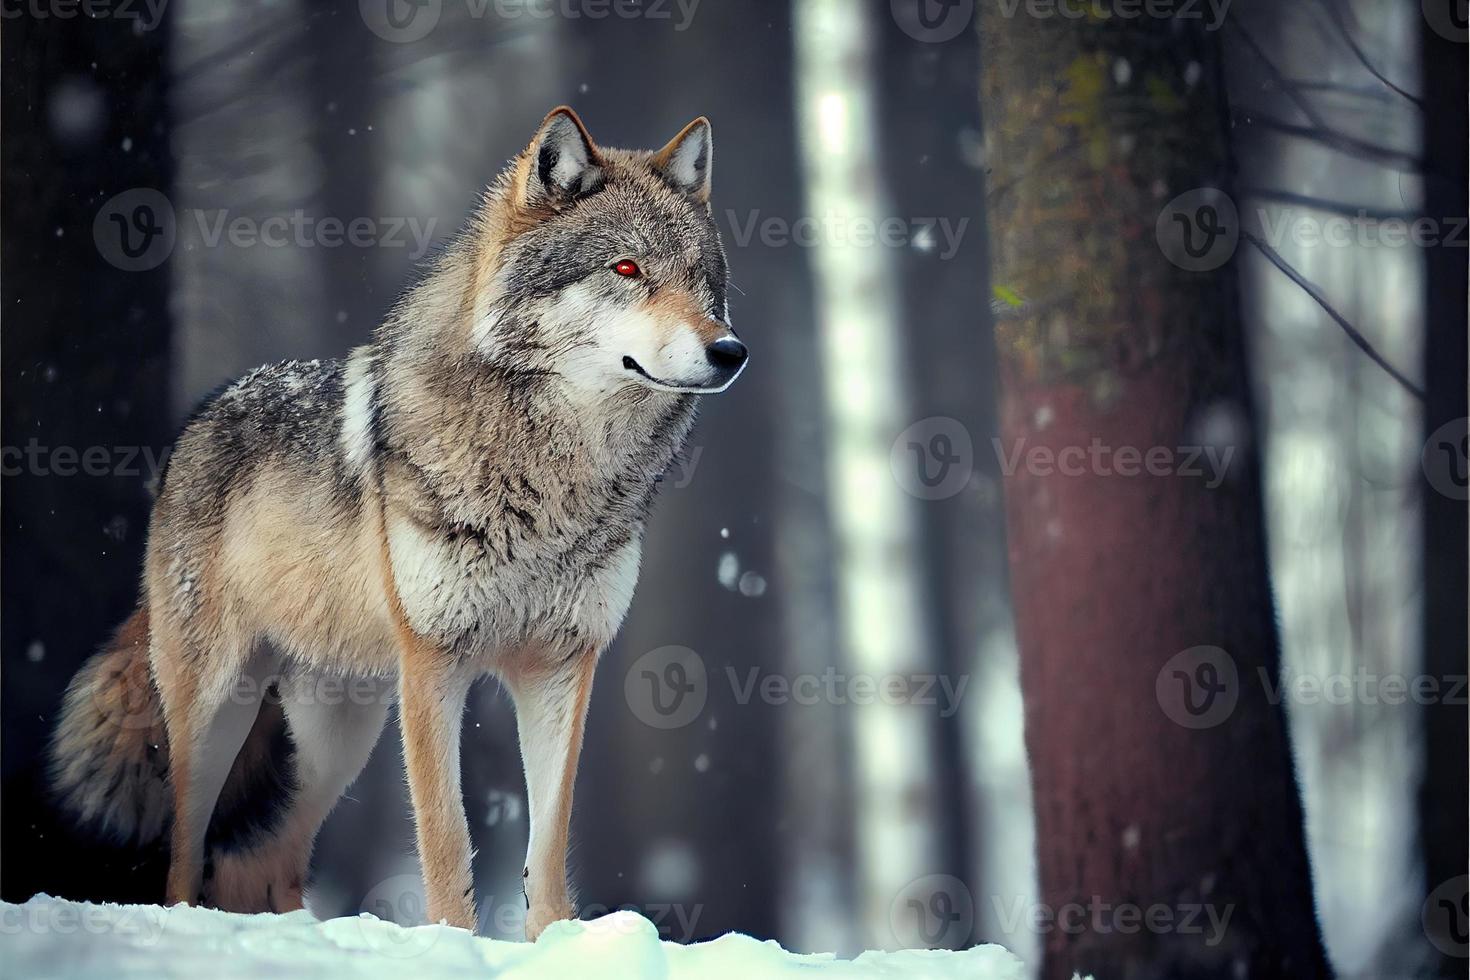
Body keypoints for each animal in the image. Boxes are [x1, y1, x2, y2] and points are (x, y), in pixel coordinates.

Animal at [48, 103, 746, 940]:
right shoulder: (433, 666)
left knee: (263, 863)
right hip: (218, 712)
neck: (554, 479)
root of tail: (198, 420)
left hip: (338, 734)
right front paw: (454, 944)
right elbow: (446, 837)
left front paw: (554, 942)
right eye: (628, 271)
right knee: (185, 862)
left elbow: (546, 845)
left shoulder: (561, 666)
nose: (730, 350)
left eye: (702, 282)